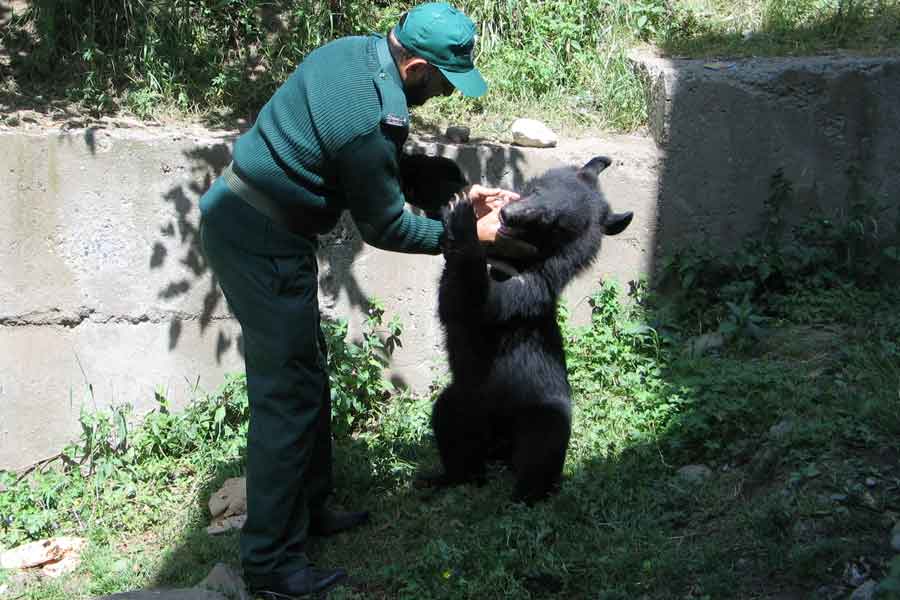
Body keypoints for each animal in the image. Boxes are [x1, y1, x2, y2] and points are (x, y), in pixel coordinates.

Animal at [428, 156, 632, 506]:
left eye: (550, 220)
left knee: (541, 448)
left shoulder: (530, 285)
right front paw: (462, 202)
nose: (508, 214)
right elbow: (451, 302)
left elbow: (477, 302)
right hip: (464, 400)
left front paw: (463, 216)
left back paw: (525, 495)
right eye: (536, 190)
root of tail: (499, 447)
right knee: (450, 425)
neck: (515, 257)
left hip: (540, 412)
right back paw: (446, 479)